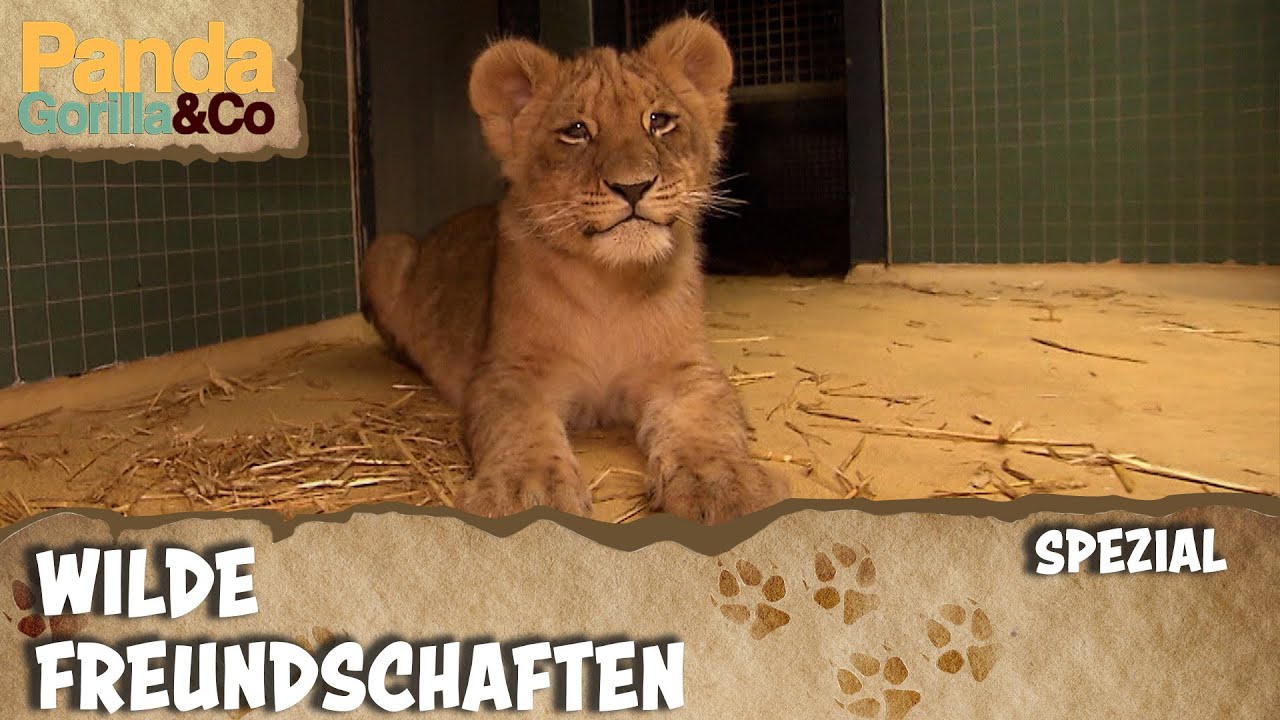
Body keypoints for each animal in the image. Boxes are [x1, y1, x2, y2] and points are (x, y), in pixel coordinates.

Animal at [359, 17, 789, 524]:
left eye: (659, 121)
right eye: (577, 130)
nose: (634, 187)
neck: (611, 286)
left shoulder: (685, 368)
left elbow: (707, 423)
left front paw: (721, 485)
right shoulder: (508, 372)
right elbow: (520, 430)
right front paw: (528, 491)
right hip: (386, 248)